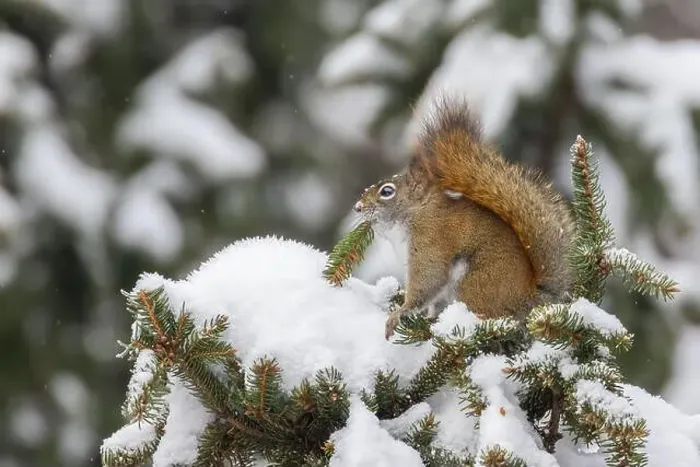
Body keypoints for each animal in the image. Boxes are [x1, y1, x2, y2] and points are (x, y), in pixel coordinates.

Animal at [353, 97, 575, 339]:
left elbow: (429, 281)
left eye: (387, 191)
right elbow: (434, 300)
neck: (417, 212)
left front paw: (398, 314)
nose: (358, 207)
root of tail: (531, 298)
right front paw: (428, 318)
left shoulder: (430, 241)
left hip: (475, 285)